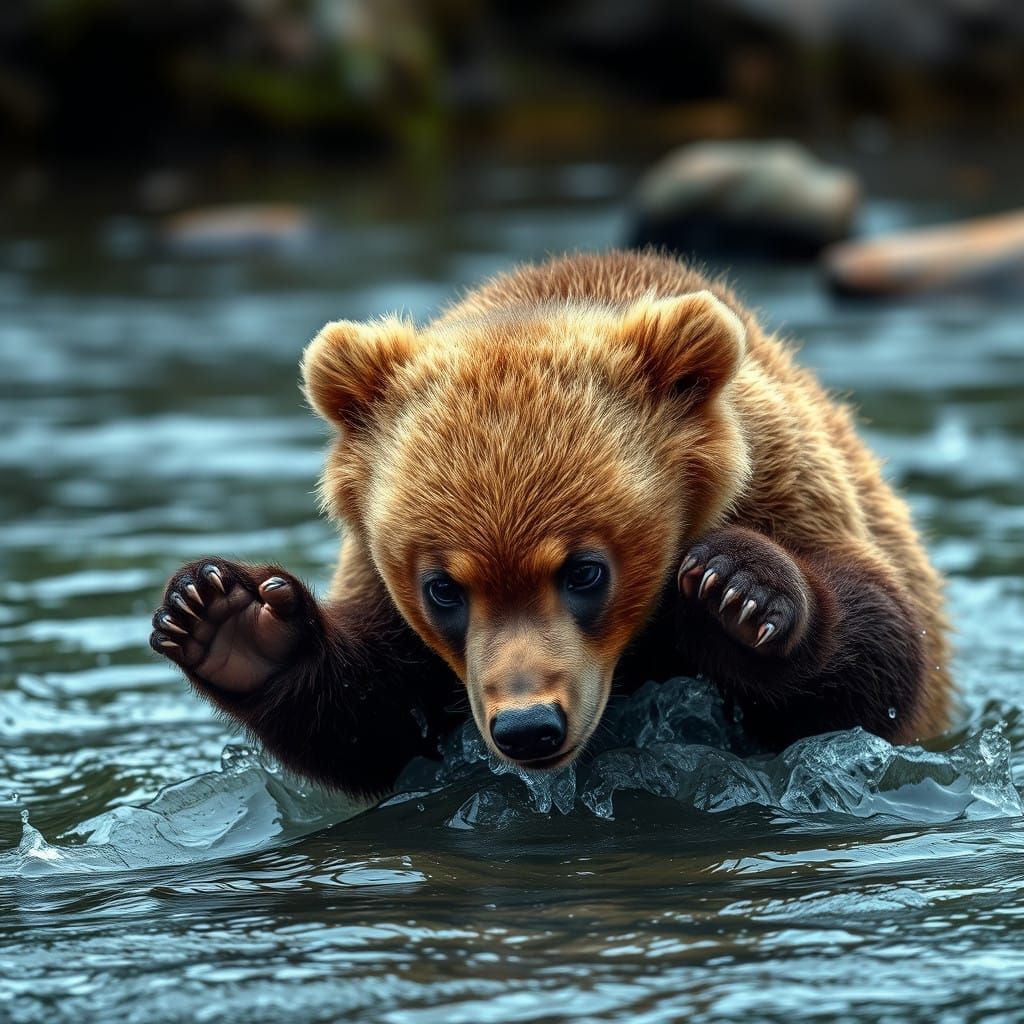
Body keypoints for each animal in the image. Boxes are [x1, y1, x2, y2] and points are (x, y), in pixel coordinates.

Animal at [150, 249, 952, 797]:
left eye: (584, 570)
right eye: (444, 587)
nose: (529, 725)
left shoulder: (787, 487)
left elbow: (877, 663)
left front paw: (738, 590)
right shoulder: (380, 585)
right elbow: (372, 716)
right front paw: (232, 614)